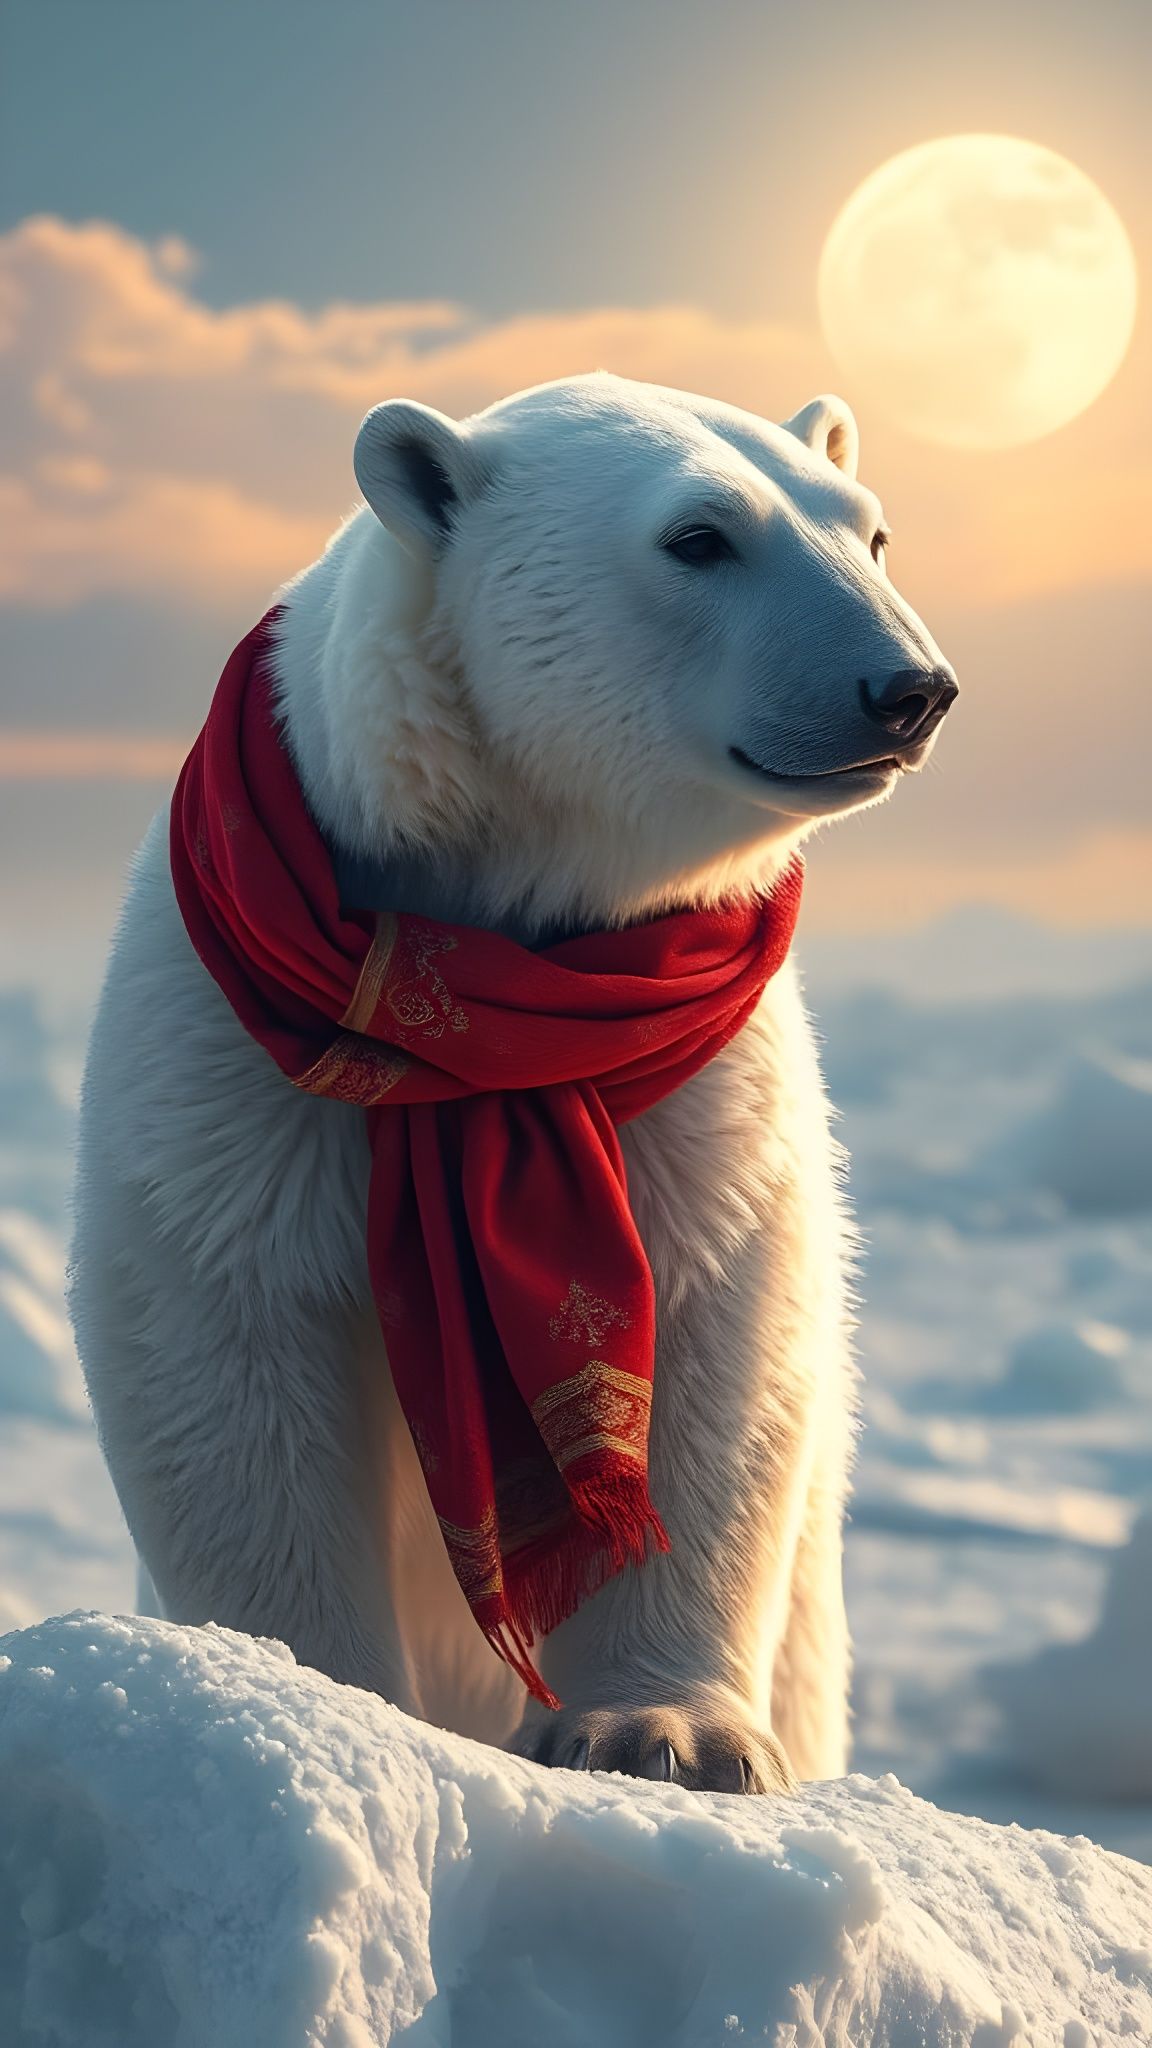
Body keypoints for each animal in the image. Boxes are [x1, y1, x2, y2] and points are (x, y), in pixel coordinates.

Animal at [69, 372, 956, 1793]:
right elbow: (225, 1336)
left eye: (873, 532)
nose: (908, 688)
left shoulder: (697, 1075)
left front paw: (662, 1733)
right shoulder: (221, 1052)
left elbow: (707, 1332)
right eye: (698, 536)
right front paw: (303, 1692)